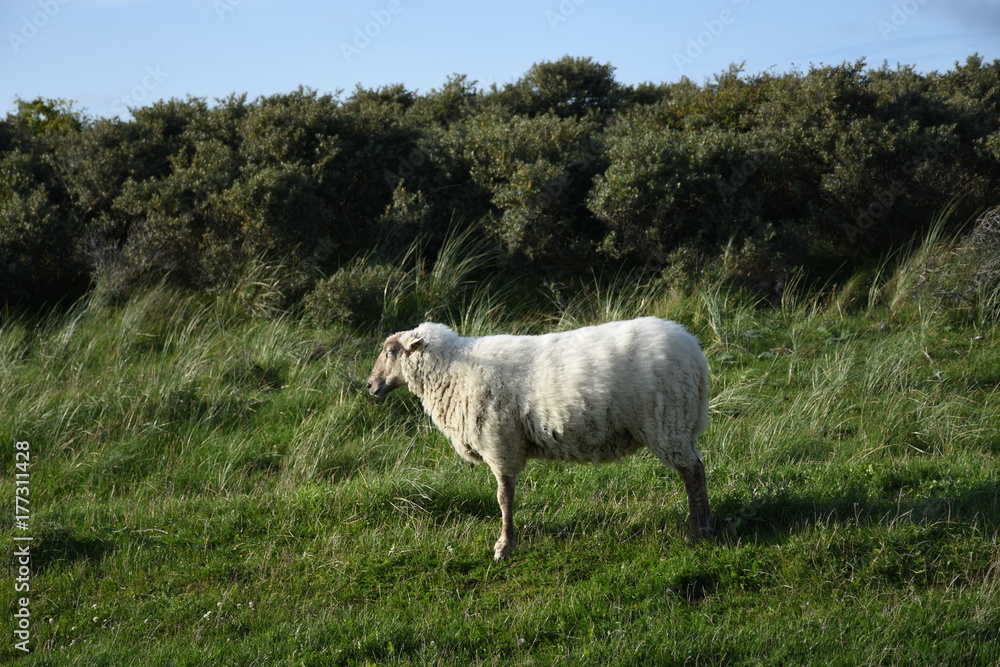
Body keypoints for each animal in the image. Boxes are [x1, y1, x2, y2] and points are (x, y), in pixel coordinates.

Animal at [366, 316, 713, 560]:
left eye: (390, 352)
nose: (370, 386)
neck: (453, 370)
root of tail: (693, 350)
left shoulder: (500, 442)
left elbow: (504, 497)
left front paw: (504, 545)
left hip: (667, 422)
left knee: (693, 472)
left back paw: (698, 531)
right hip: (677, 424)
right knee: (696, 469)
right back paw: (704, 523)